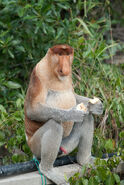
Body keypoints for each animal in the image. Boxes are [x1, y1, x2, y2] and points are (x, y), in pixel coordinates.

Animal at [24, 44, 102, 184]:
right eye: (60, 55)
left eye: (67, 55)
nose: (65, 68)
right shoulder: (39, 73)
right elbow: (32, 109)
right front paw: (72, 114)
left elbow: (74, 96)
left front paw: (95, 106)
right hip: (35, 147)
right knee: (54, 124)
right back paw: (47, 170)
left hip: (67, 144)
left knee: (87, 118)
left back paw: (85, 160)